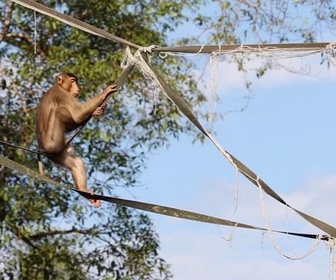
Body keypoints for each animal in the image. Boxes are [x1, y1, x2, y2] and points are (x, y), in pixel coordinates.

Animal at [36, 72, 117, 208]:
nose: (77, 88)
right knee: (59, 111)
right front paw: (105, 92)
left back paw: (84, 191)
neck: (59, 86)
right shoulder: (63, 95)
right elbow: (77, 115)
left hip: (56, 154)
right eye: (73, 81)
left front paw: (97, 110)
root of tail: (42, 148)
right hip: (52, 144)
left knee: (75, 163)